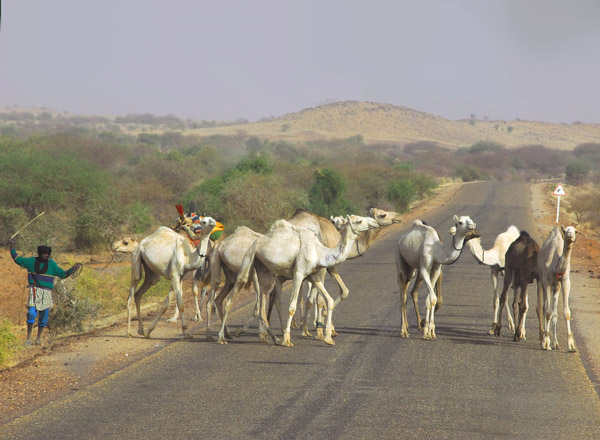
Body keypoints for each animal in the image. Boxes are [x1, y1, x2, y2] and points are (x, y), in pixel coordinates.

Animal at [220, 215, 380, 346]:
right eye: (359, 220)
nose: (375, 222)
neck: (319, 251)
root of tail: (257, 242)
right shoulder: (299, 273)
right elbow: (292, 306)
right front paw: (287, 340)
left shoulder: (314, 276)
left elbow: (328, 300)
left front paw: (328, 338)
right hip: (249, 260)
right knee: (233, 297)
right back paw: (223, 337)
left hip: (263, 270)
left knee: (262, 306)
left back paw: (273, 338)